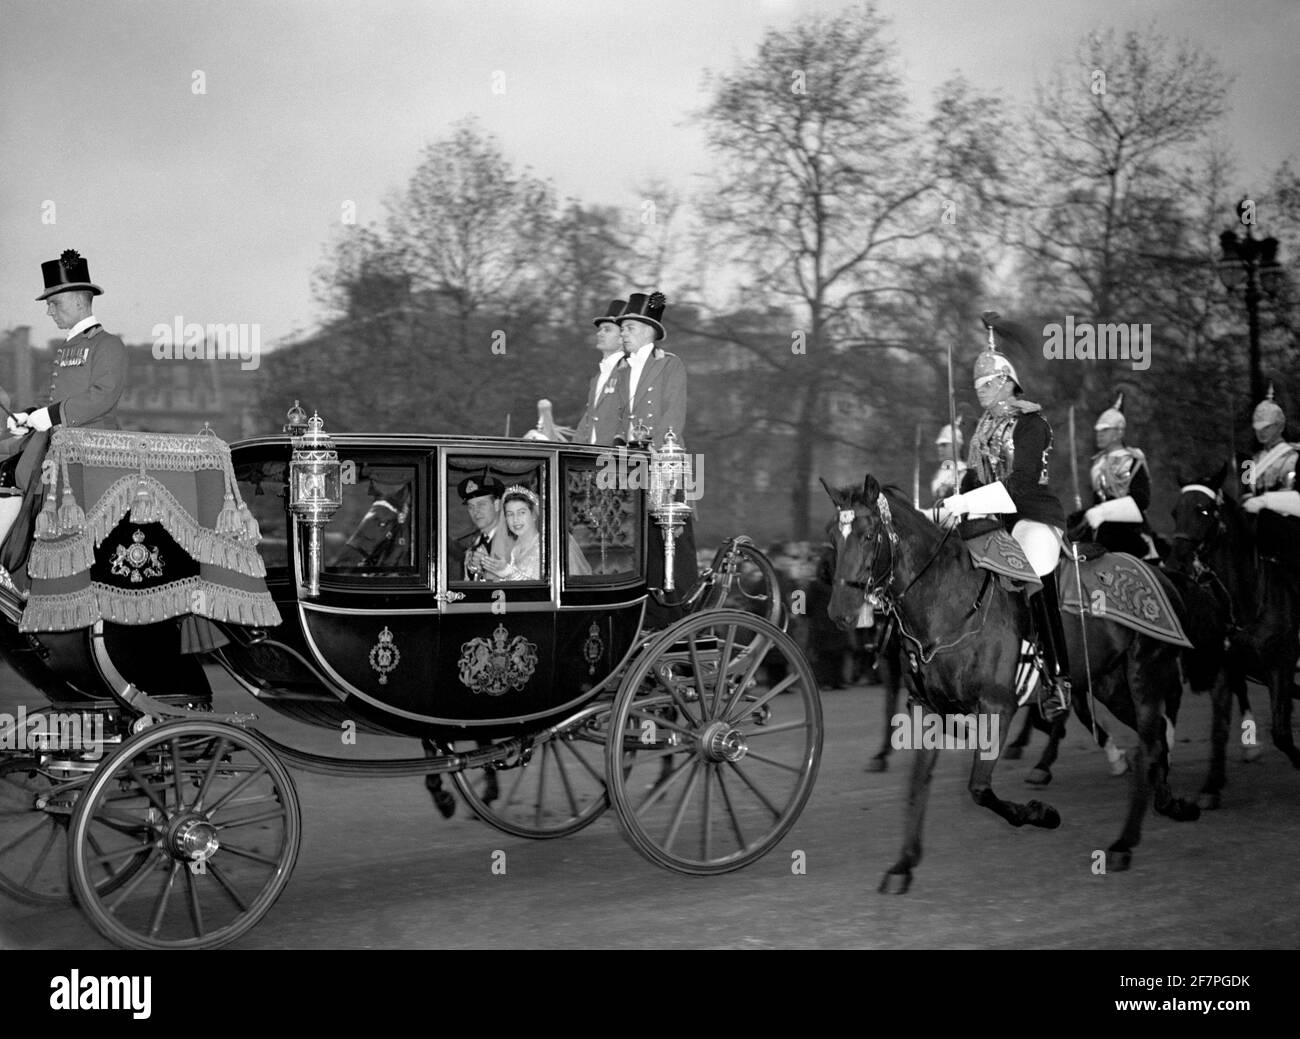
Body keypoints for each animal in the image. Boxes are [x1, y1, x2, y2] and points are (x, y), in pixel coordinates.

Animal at [821, 475, 1196, 889]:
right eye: (832, 537)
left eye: (869, 534)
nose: (839, 613)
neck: (948, 603)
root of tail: (1160, 574)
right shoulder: (926, 710)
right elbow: (917, 784)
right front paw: (903, 863)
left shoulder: (997, 708)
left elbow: (979, 788)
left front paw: (1041, 813)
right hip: (1111, 684)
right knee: (1155, 738)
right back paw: (1170, 803)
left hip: (1144, 673)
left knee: (1149, 741)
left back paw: (1124, 842)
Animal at [1170, 465, 1300, 806]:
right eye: (1175, 512)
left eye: (1204, 509)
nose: (1177, 560)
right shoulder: (1226, 668)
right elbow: (1219, 727)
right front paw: (1211, 786)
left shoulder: (1280, 665)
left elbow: (1281, 731)